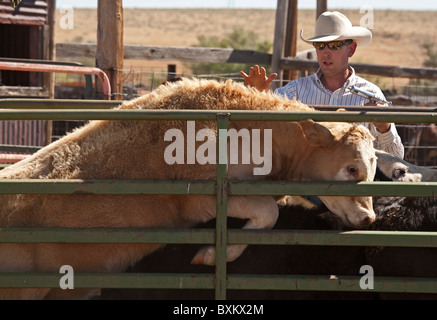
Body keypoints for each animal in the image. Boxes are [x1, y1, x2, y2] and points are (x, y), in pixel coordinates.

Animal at [0, 78, 374, 300]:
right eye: (352, 168)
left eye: (373, 167)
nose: (369, 218)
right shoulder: (205, 200)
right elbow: (268, 213)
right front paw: (210, 255)